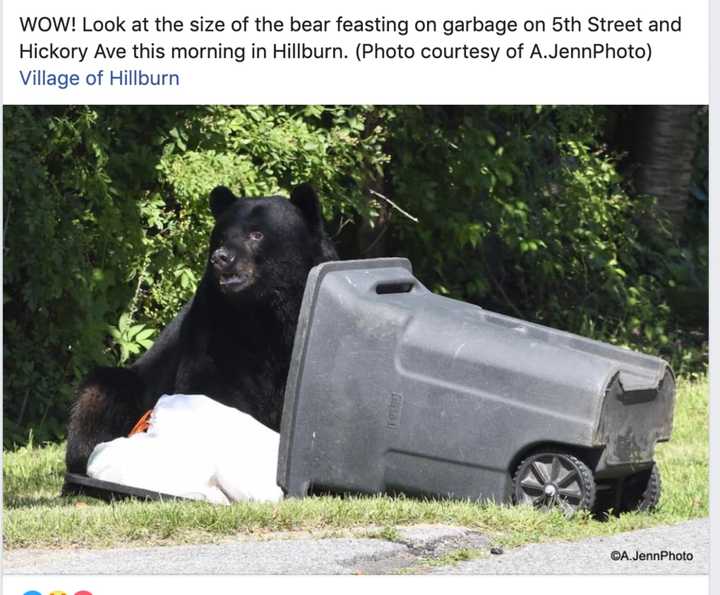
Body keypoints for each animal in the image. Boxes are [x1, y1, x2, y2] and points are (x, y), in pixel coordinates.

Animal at [62, 183, 338, 480]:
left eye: (257, 234)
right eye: (222, 236)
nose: (222, 258)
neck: (263, 310)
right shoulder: (214, 326)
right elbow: (208, 382)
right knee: (99, 392)